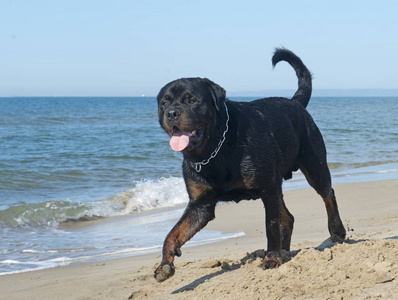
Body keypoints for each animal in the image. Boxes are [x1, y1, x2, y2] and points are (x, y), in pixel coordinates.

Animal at [153, 48, 346, 282]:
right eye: (164, 103)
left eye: (191, 100)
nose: (171, 112)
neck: (216, 149)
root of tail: (296, 102)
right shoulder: (200, 205)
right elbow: (173, 233)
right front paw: (165, 264)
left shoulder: (268, 188)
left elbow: (270, 226)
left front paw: (272, 258)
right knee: (288, 218)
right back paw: (286, 251)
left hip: (314, 165)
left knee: (327, 194)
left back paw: (336, 231)